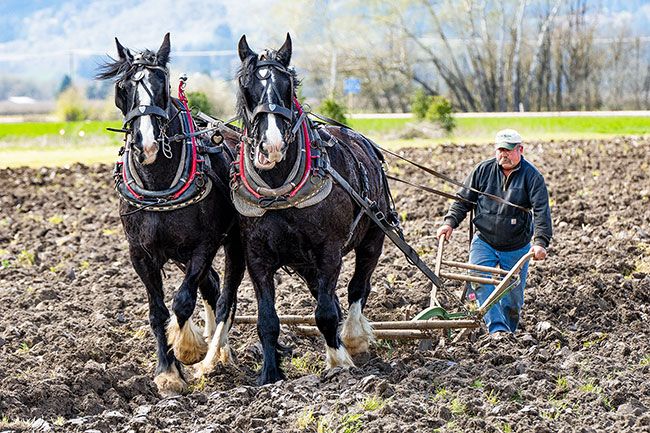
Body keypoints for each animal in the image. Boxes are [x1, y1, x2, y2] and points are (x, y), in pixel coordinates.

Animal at [97, 33, 244, 392]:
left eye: (162, 84)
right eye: (122, 87)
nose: (147, 144)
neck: (159, 183)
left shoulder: (203, 245)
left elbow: (182, 301)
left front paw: (189, 349)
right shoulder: (140, 253)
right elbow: (158, 311)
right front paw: (167, 371)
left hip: (235, 243)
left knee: (226, 296)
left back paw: (218, 353)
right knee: (212, 286)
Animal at [235, 34, 392, 384]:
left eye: (288, 86)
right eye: (247, 85)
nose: (272, 146)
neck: (278, 189)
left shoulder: (328, 251)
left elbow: (326, 312)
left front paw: (339, 363)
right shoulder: (256, 256)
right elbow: (267, 319)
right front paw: (270, 374)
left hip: (373, 236)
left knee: (358, 287)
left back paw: (353, 339)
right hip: (306, 263)